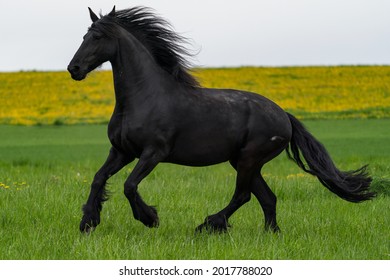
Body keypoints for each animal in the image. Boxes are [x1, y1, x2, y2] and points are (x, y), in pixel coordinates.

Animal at [68, 7, 374, 234]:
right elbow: (98, 178)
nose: (74, 69)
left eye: (97, 36)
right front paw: (88, 222)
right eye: (84, 35)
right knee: (267, 197)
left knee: (244, 195)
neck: (145, 96)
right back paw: (270, 233)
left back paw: (208, 225)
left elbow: (129, 186)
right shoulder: (121, 151)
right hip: (244, 162)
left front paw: (150, 218)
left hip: (249, 159)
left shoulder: (153, 153)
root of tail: (284, 116)